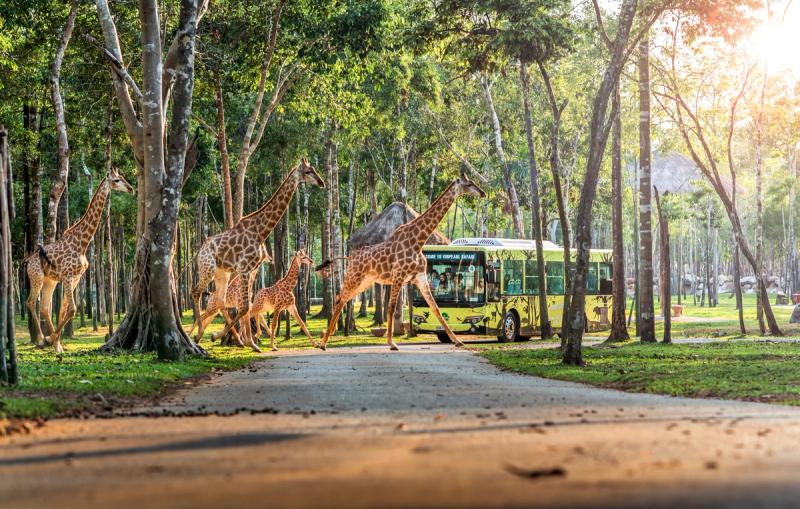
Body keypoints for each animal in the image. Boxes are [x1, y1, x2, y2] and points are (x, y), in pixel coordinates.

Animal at [25, 167, 134, 352]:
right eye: (117, 180)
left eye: (123, 177)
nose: (131, 189)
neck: (82, 243)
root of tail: (26, 262)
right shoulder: (68, 277)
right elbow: (73, 309)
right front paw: (50, 339)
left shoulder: (75, 278)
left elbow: (64, 309)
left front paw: (56, 343)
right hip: (36, 277)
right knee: (31, 302)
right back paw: (40, 339)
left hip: (49, 281)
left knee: (45, 307)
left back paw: (51, 342)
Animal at [190, 159, 324, 351]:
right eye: (307, 172)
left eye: (314, 169)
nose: (322, 182)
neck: (261, 231)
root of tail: (200, 250)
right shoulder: (246, 268)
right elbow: (245, 307)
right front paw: (250, 342)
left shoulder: (249, 269)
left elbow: (246, 307)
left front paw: (248, 342)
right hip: (207, 268)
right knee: (196, 292)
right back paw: (199, 334)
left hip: (223, 272)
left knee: (220, 301)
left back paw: (213, 336)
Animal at [319, 174, 486, 351]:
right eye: (469, 184)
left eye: (473, 182)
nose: (482, 193)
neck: (418, 241)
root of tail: (350, 258)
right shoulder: (398, 276)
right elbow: (391, 308)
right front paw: (391, 343)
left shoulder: (419, 277)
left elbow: (436, 308)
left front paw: (458, 340)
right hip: (354, 277)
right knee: (340, 300)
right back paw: (322, 343)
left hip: (365, 282)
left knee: (342, 299)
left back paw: (326, 339)